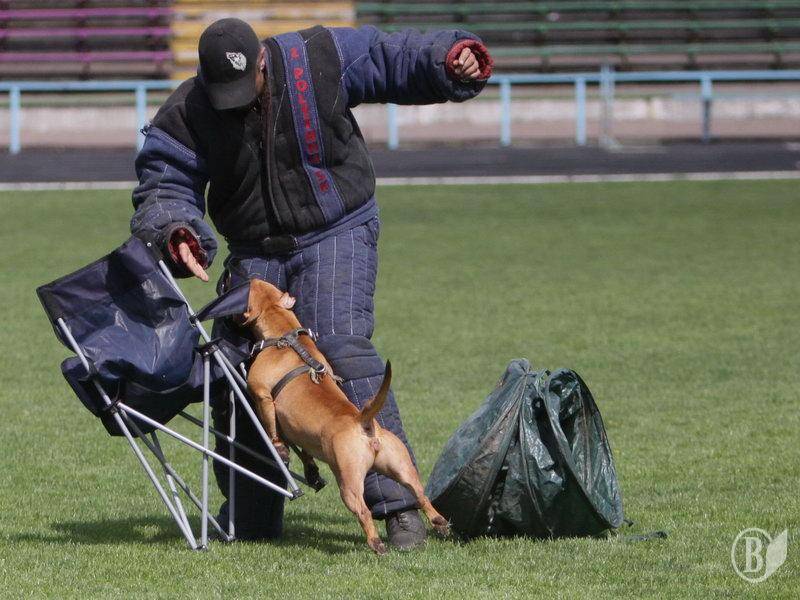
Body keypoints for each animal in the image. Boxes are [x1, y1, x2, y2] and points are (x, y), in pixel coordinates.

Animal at [242, 279, 449, 554]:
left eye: (251, 288)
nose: (250, 277)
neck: (285, 335)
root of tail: (363, 422)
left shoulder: (262, 396)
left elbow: (272, 429)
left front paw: (278, 448)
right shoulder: (300, 433)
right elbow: (304, 453)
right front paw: (310, 471)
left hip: (348, 483)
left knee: (363, 511)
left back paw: (376, 544)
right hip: (402, 468)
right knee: (421, 495)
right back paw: (439, 521)